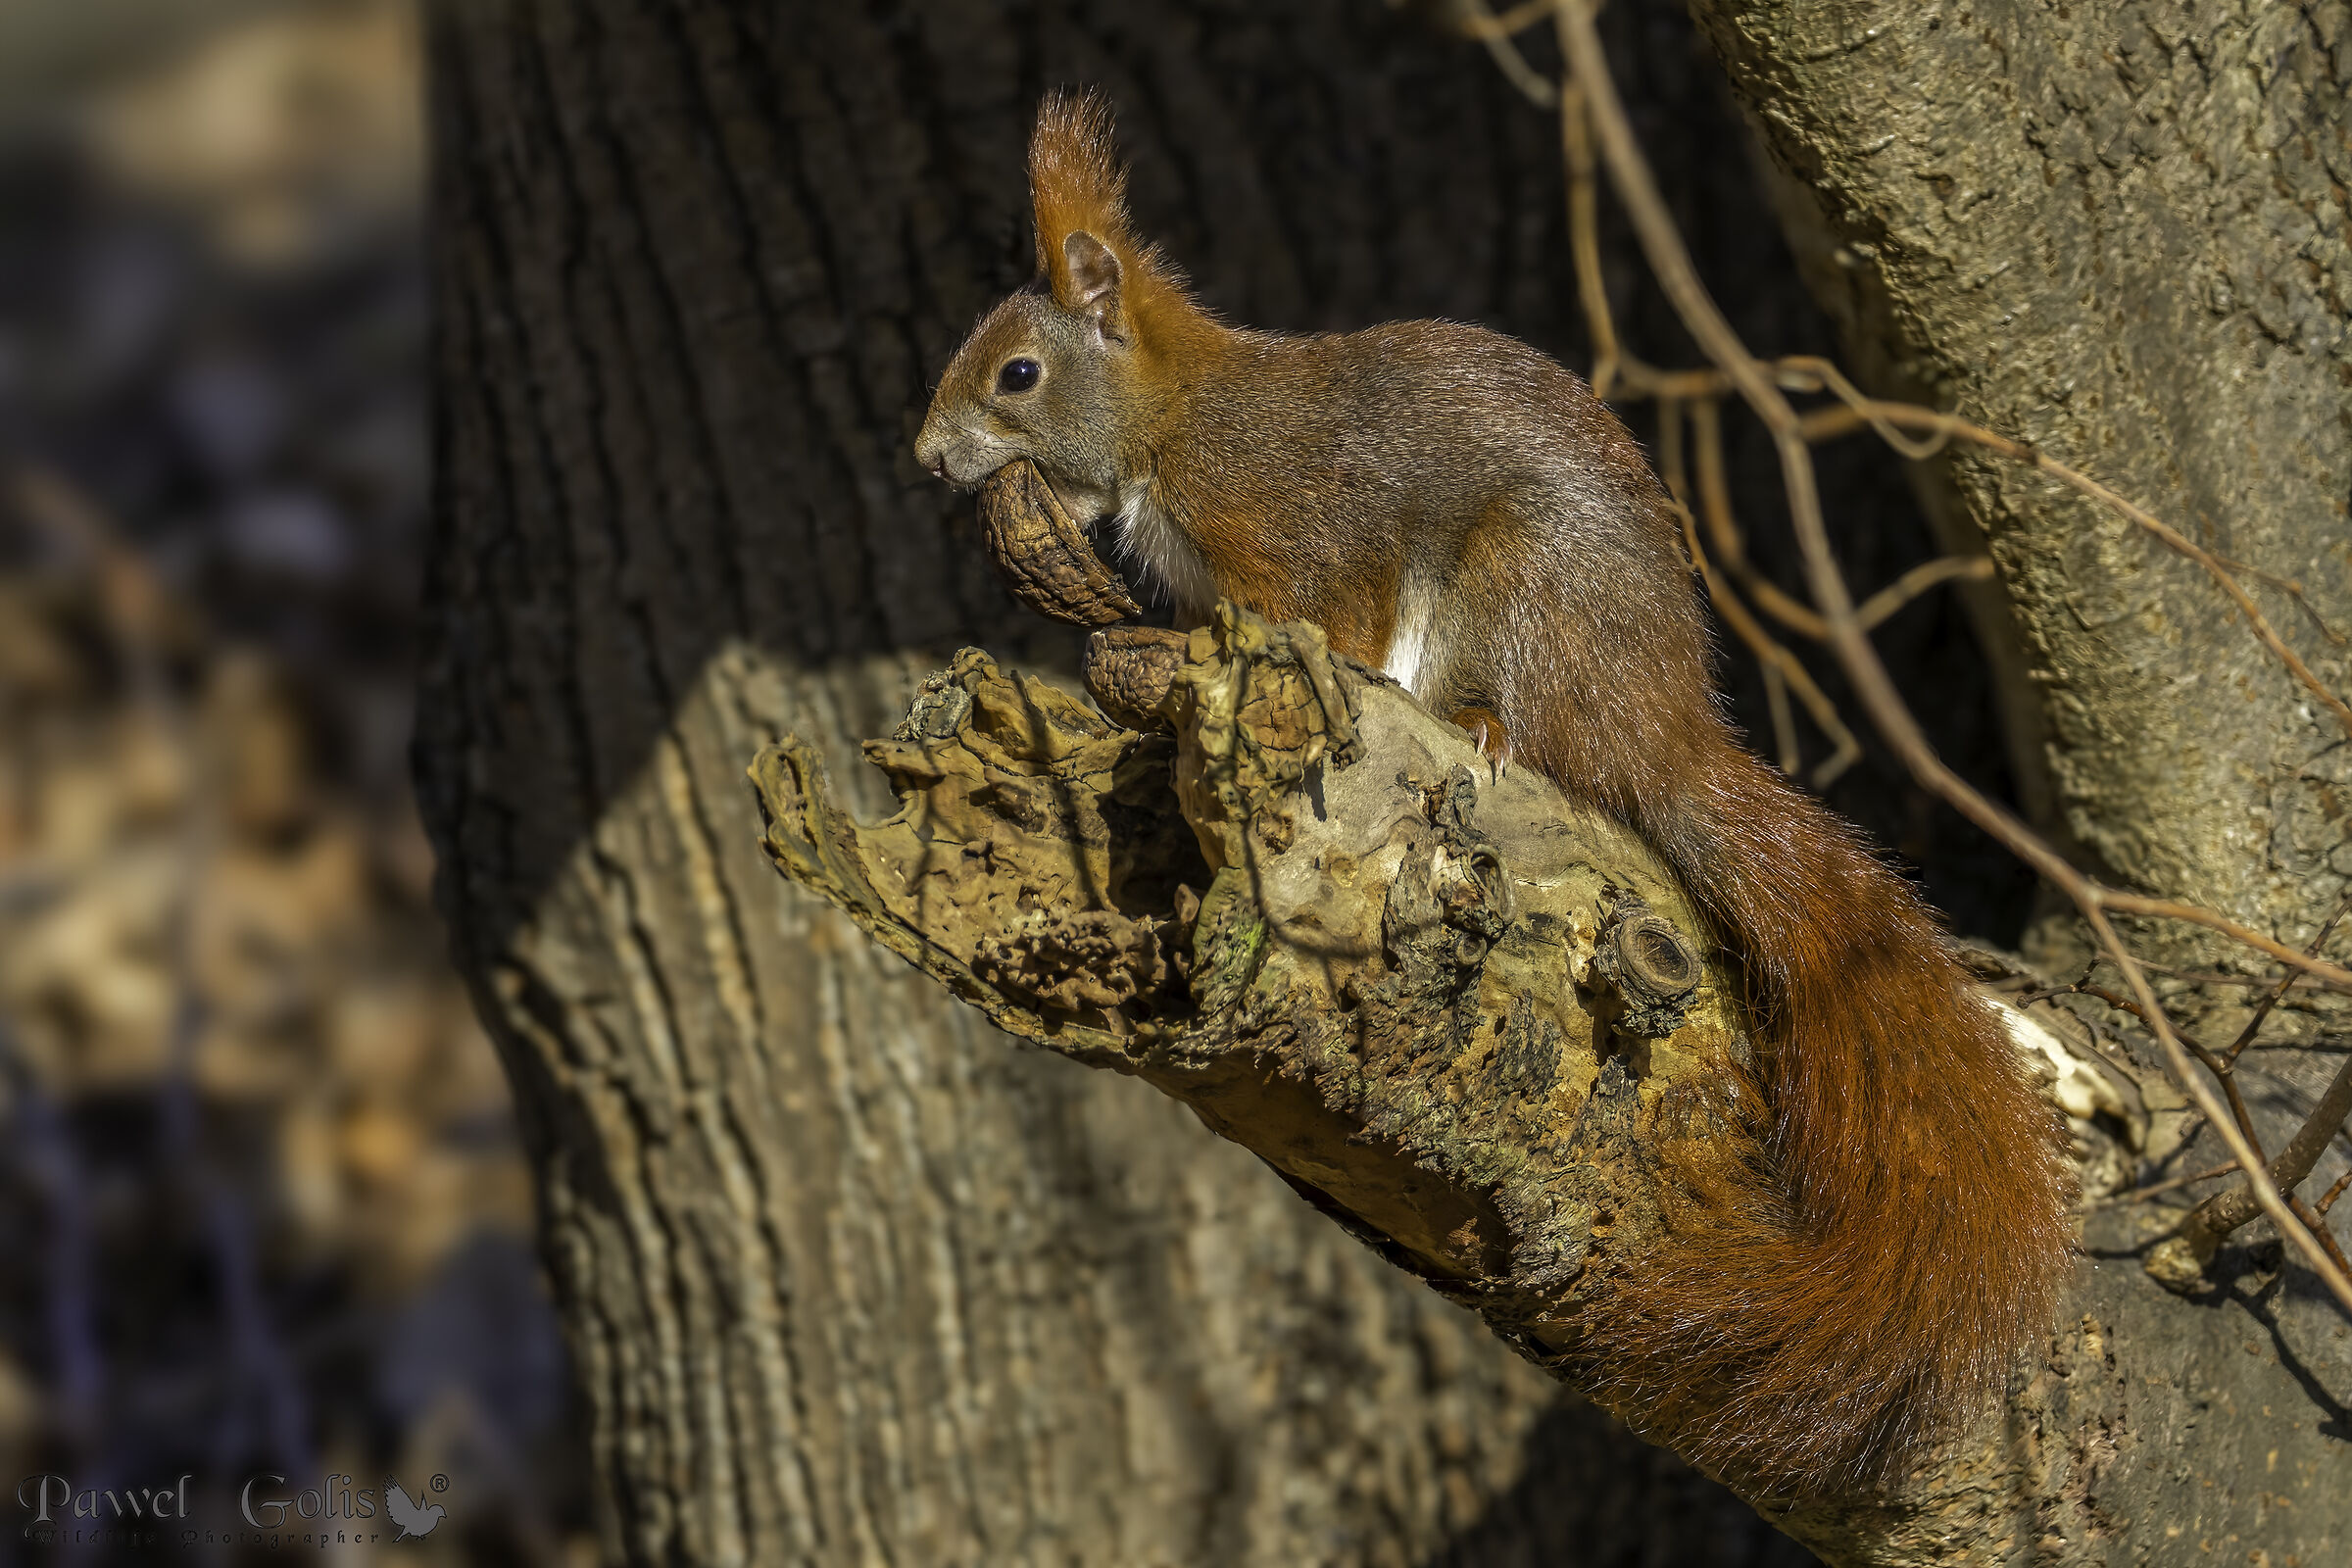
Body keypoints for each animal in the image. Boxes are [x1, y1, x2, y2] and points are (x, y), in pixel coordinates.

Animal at [913, 91, 2071, 1491]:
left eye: (1017, 375)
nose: (924, 457)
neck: (1175, 417)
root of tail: (1665, 727)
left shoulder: (1299, 528)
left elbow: (1330, 612)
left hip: (1523, 588)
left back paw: (1483, 722)